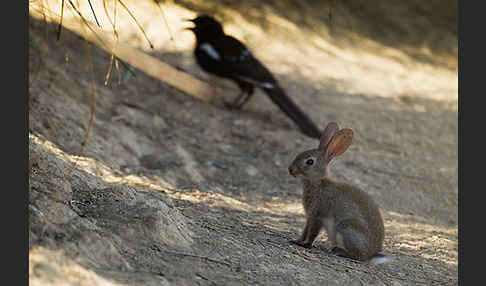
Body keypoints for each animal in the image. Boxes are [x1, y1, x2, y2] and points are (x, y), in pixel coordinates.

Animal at [288, 122, 392, 264]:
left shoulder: (318, 214)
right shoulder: (310, 217)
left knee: (358, 256)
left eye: (309, 161)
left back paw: (339, 251)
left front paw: (305, 245)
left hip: (346, 228)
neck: (318, 182)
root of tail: (372, 254)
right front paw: (297, 241)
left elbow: (312, 232)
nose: (290, 169)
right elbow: (305, 231)